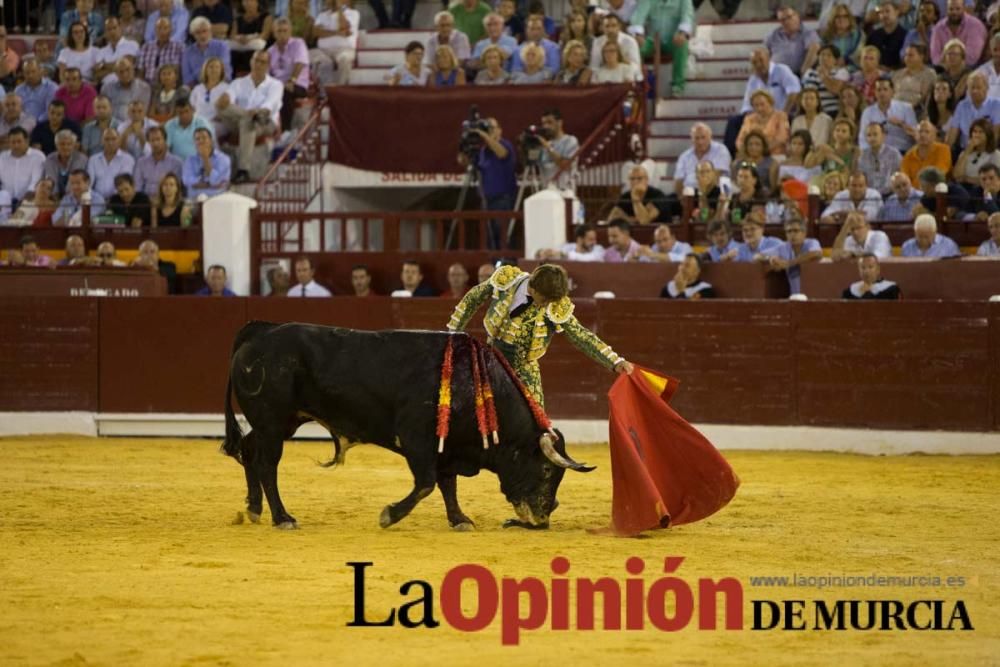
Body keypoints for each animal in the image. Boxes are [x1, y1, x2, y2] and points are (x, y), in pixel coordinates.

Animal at [221, 324, 592, 532]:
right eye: (547, 470)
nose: (542, 519)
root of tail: (259, 332)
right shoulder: (418, 440)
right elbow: (427, 483)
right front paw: (390, 515)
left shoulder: (448, 446)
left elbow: (447, 484)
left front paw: (460, 519)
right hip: (272, 420)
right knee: (267, 464)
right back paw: (282, 517)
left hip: (280, 422)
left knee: (249, 451)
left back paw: (253, 509)